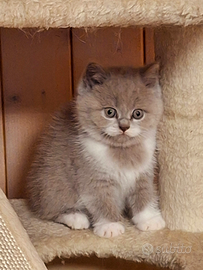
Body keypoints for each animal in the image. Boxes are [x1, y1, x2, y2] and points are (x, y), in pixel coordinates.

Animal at [27, 62, 166, 238]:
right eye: (110, 112)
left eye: (138, 113)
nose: (124, 126)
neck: (122, 152)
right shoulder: (92, 177)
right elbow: (102, 201)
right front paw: (110, 225)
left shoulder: (143, 173)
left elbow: (145, 193)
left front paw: (149, 219)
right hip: (52, 183)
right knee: (50, 210)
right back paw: (76, 217)